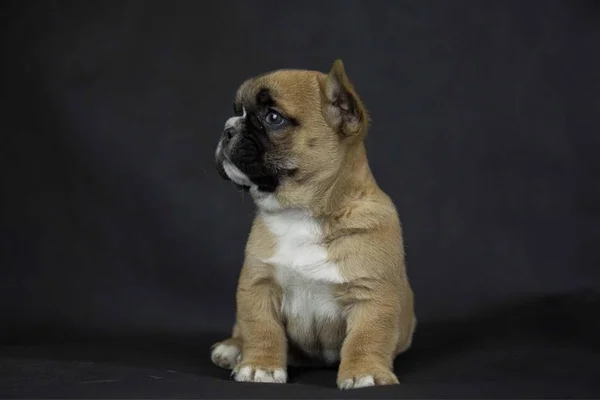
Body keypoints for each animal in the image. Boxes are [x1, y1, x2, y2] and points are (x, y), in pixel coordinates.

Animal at [212, 57, 418, 390]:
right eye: (237, 111)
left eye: (273, 117)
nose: (228, 129)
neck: (302, 213)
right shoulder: (259, 286)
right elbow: (261, 329)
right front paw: (259, 366)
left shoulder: (371, 296)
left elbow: (366, 338)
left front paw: (364, 372)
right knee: (241, 329)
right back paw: (232, 348)